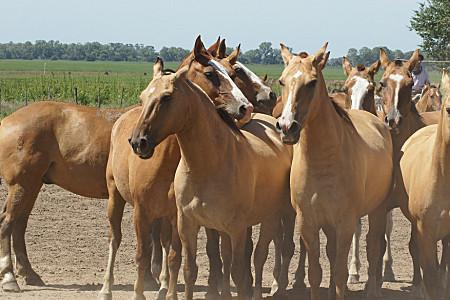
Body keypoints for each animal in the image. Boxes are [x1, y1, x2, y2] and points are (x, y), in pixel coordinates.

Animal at [98, 35, 253, 300]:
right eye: (211, 73)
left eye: (232, 72)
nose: (245, 107)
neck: (165, 160)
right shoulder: (142, 212)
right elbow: (142, 255)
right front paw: (139, 293)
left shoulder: (175, 215)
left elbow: (174, 256)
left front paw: (168, 292)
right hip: (115, 197)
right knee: (114, 239)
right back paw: (106, 288)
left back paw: (161, 286)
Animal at [128, 47, 294, 300]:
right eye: (142, 98)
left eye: (166, 97)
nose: (139, 142)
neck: (208, 165)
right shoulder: (189, 224)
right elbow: (190, 269)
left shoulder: (236, 229)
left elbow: (238, 272)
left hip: (272, 216)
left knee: (261, 255)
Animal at [276, 42, 392, 300]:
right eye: (281, 81)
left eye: (311, 83)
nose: (287, 127)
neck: (322, 162)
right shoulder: (308, 222)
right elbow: (316, 272)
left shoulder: (346, 221)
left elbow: (340, 273)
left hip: (377, 210)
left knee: (373, 246)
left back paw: (372, 289)